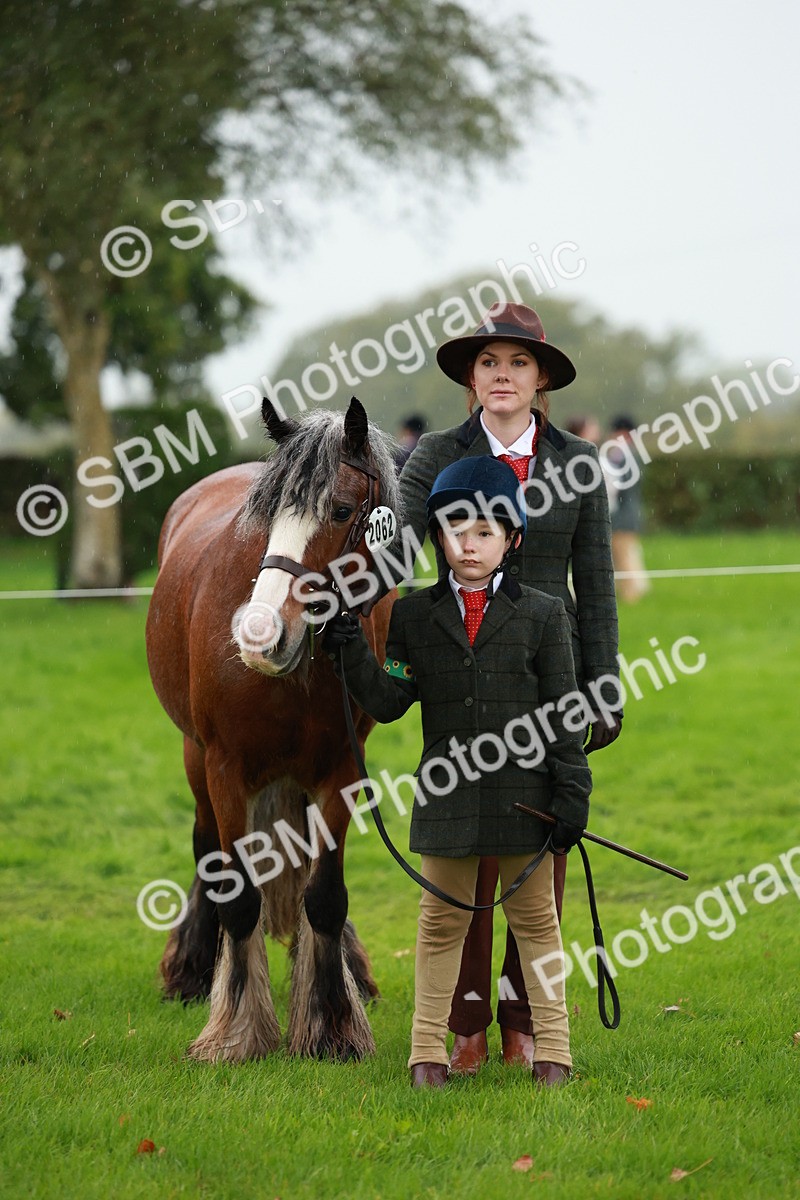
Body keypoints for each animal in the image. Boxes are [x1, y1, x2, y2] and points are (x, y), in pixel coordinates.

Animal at [145, 396, 401, 1062]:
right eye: (265, 517)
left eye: (341, 510)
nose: (260, 636)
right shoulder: (224, 767)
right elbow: (239, 898)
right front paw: (236, 1031)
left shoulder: (342, 769)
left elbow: (325, 896)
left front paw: (332, 1023)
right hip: (194, 759)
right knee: (208, 851)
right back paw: (193, 969)